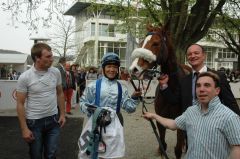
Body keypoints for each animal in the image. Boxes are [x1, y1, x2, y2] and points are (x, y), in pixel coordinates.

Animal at [128, 24, 192, 158]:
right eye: (141, 42)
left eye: (156, 43)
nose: (134, 69)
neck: (172, 90)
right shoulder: (160, 121)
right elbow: (163, 145)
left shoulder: (181, 122)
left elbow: (177, 149)